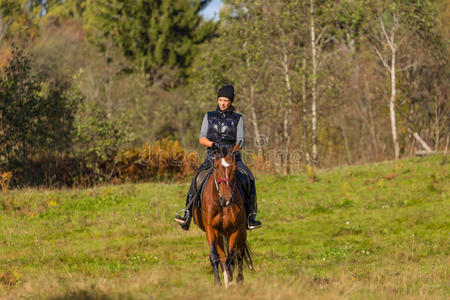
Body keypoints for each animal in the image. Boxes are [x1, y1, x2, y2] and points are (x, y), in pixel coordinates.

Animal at [192, 142, 253, 288]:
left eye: (234, 168)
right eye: (216, 167)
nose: (226, 199)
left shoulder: (235, 230)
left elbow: (232, 257)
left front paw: (231, 282)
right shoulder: (211, 229)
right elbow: (215, 256)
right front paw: (218, 283)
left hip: (241, 231)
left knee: (239, 254)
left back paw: (238, 280)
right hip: (219, 233)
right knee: (223, 256)